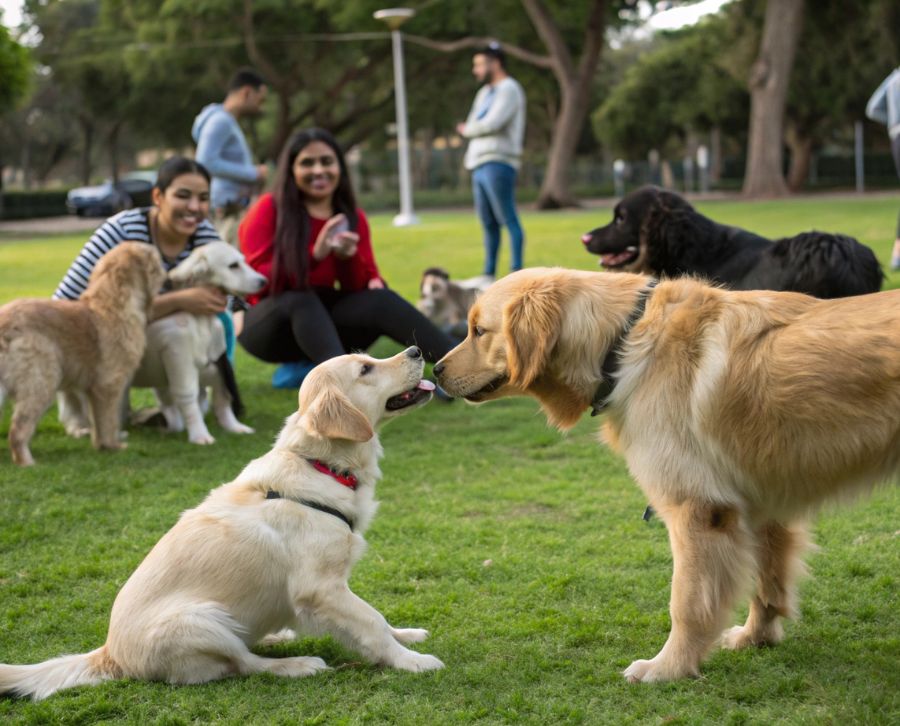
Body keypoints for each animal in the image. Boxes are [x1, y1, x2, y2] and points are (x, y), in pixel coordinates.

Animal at [0, 245, 165, 466]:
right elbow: (109, 419)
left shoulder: (92, 389)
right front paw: (114, 446)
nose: (166, 270)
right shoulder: (108, 385)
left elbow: (97, 421)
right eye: (156, 261)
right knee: (18, 430)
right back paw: (28, 463)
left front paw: (101, 446)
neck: (113, 303)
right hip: (41, 381)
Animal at [0, 350, 442, 704]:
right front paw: (411, 660)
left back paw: (276, 635)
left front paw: (406, 635)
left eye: (369, 358)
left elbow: (376, 617)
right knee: (244, 664)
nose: (416, 350)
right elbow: (369, 620)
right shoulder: (321, 589)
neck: (321, 464)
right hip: (201, 621)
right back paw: (296, 663)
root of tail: (110, 652)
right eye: (366, 369)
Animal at [432, 268, 896, 684]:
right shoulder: (760, 502)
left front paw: (668, 668)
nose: (435, 369)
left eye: (478, 330)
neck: (621, 345)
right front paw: (756, 638)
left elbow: (687, 603)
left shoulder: (698, 509)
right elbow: (768, 583)